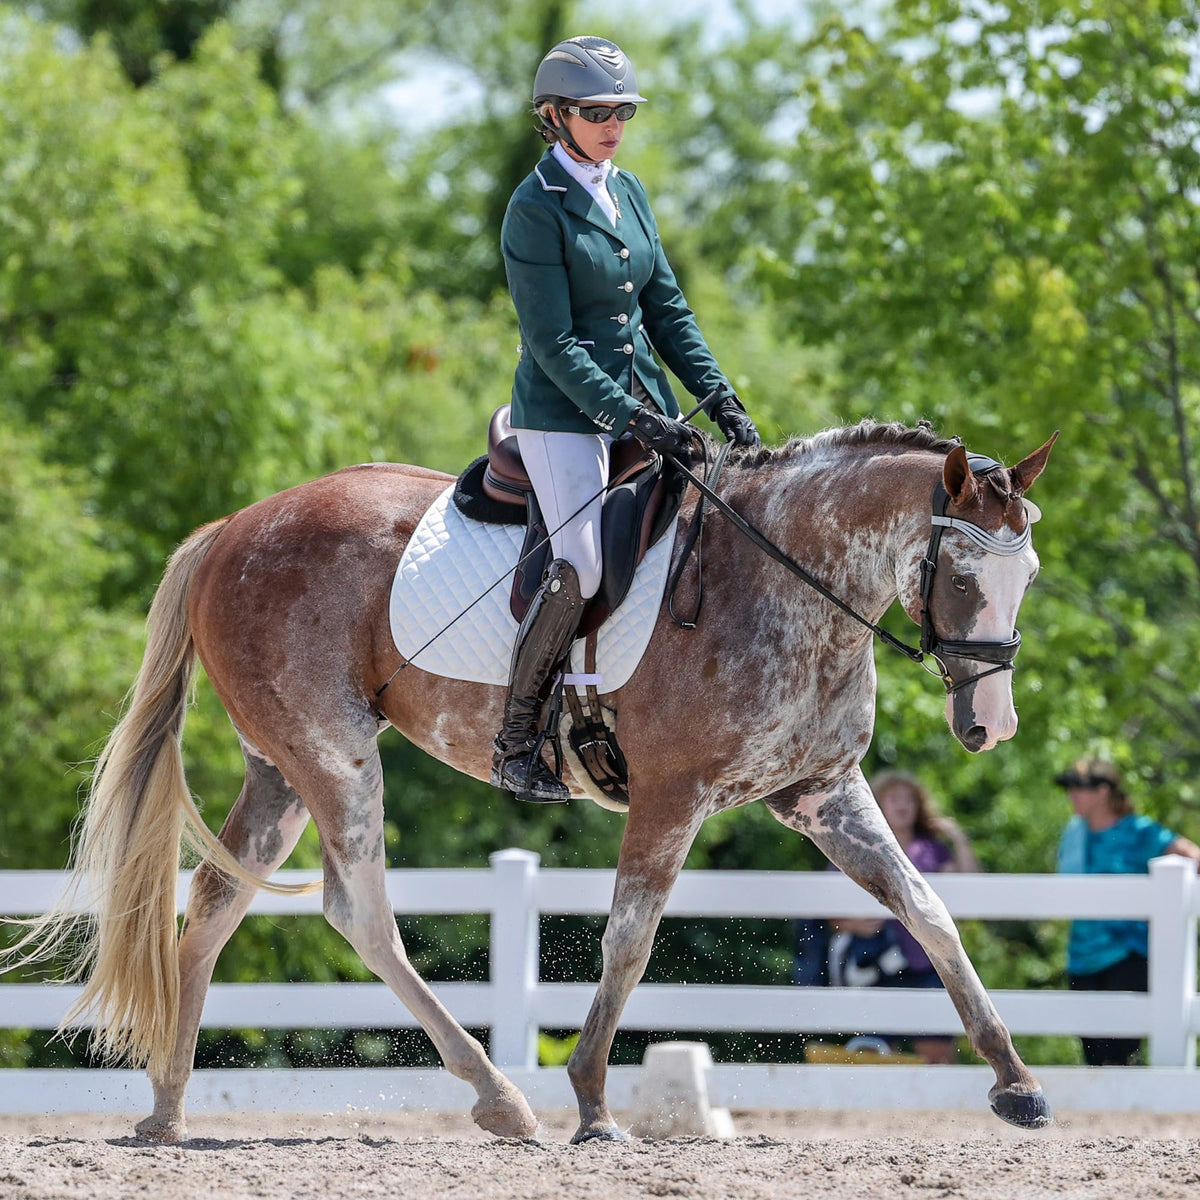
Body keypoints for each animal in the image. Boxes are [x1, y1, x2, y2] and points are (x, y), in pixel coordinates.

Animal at [9, 419, 1056, 1143]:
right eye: (963, 577)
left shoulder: (823, 794)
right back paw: (500, 1097)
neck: (787, 587)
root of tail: (236, 527)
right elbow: (629, 942)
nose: (990, 727)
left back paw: (167, 1110)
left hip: (280, 770)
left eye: (1030, 575)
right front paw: (592, 1104)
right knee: (361, 914)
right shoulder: (672, 799)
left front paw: (1016, 1083)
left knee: (216, 904)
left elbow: (929, 913)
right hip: (334, 756)